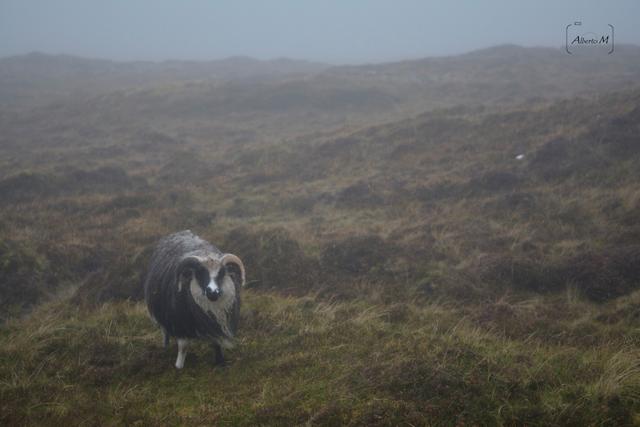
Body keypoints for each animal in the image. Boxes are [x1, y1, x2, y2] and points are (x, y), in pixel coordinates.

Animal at [144, 232, 245, 370]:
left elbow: (217, 342)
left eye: (222, 273)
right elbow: (183, 346)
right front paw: (179, 366)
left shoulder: (214, 323)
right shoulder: (179, 323)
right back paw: (165, 348)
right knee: (164, 332)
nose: (212, 292)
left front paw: (220, 362)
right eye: (200, 273)